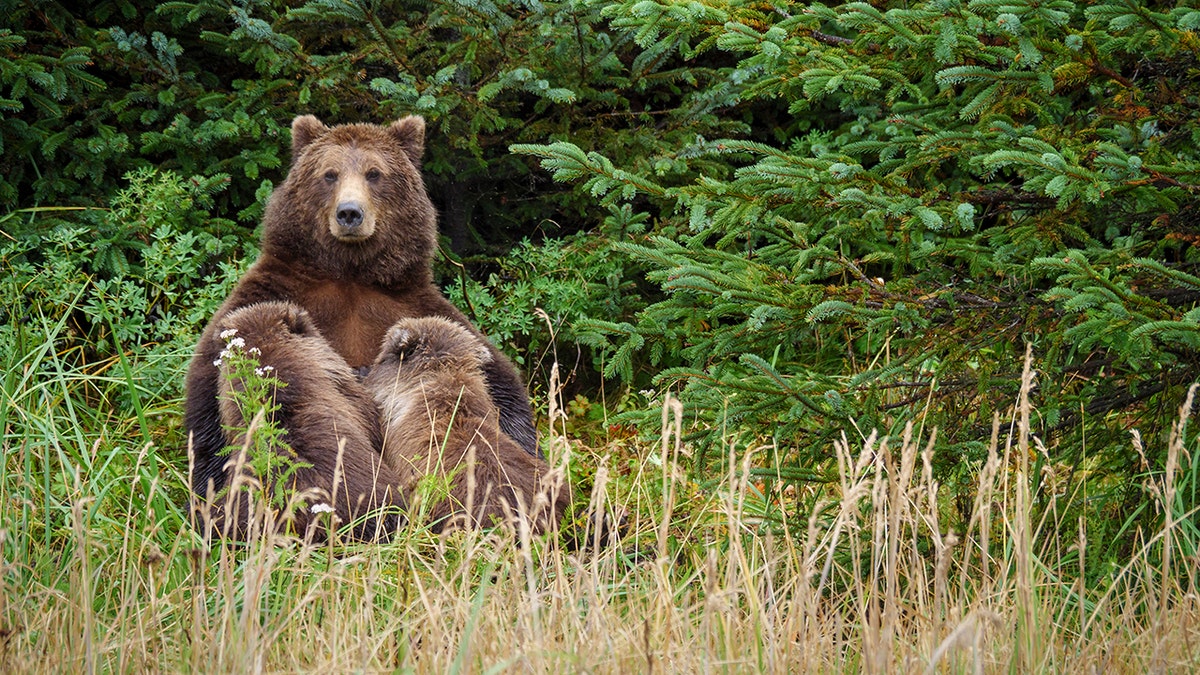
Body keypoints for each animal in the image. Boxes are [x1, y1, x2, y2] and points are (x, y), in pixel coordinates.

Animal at [183, 115, 540, 535]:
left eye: (374, 173)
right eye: (329, 173)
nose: (350, 213)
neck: (350, 274)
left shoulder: (411, 305)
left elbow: (499, 383)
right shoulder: (272, 295)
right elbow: (207, 402)